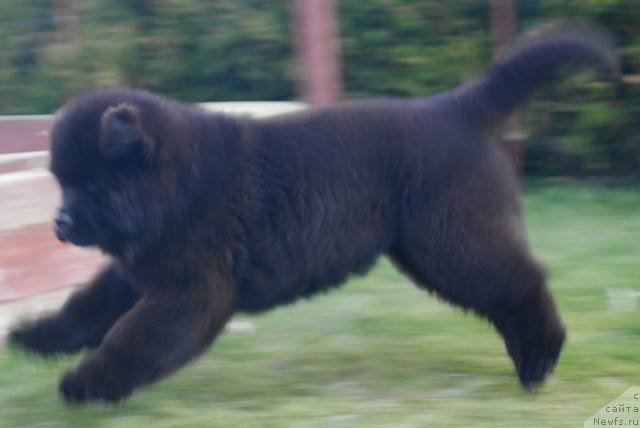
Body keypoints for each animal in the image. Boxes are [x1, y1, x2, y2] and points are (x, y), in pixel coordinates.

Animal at [10, 21, 616, 402]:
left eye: (91, 184)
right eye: (62, 184)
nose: (59, 224)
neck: (173, 188)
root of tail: (455, 109)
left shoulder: (190, 291)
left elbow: (132, 339)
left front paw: (85, 384)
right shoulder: (138, 273)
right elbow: (87, 309)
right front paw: (36, 335)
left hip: (453, 241)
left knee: (521, 282)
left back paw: (538, 359)